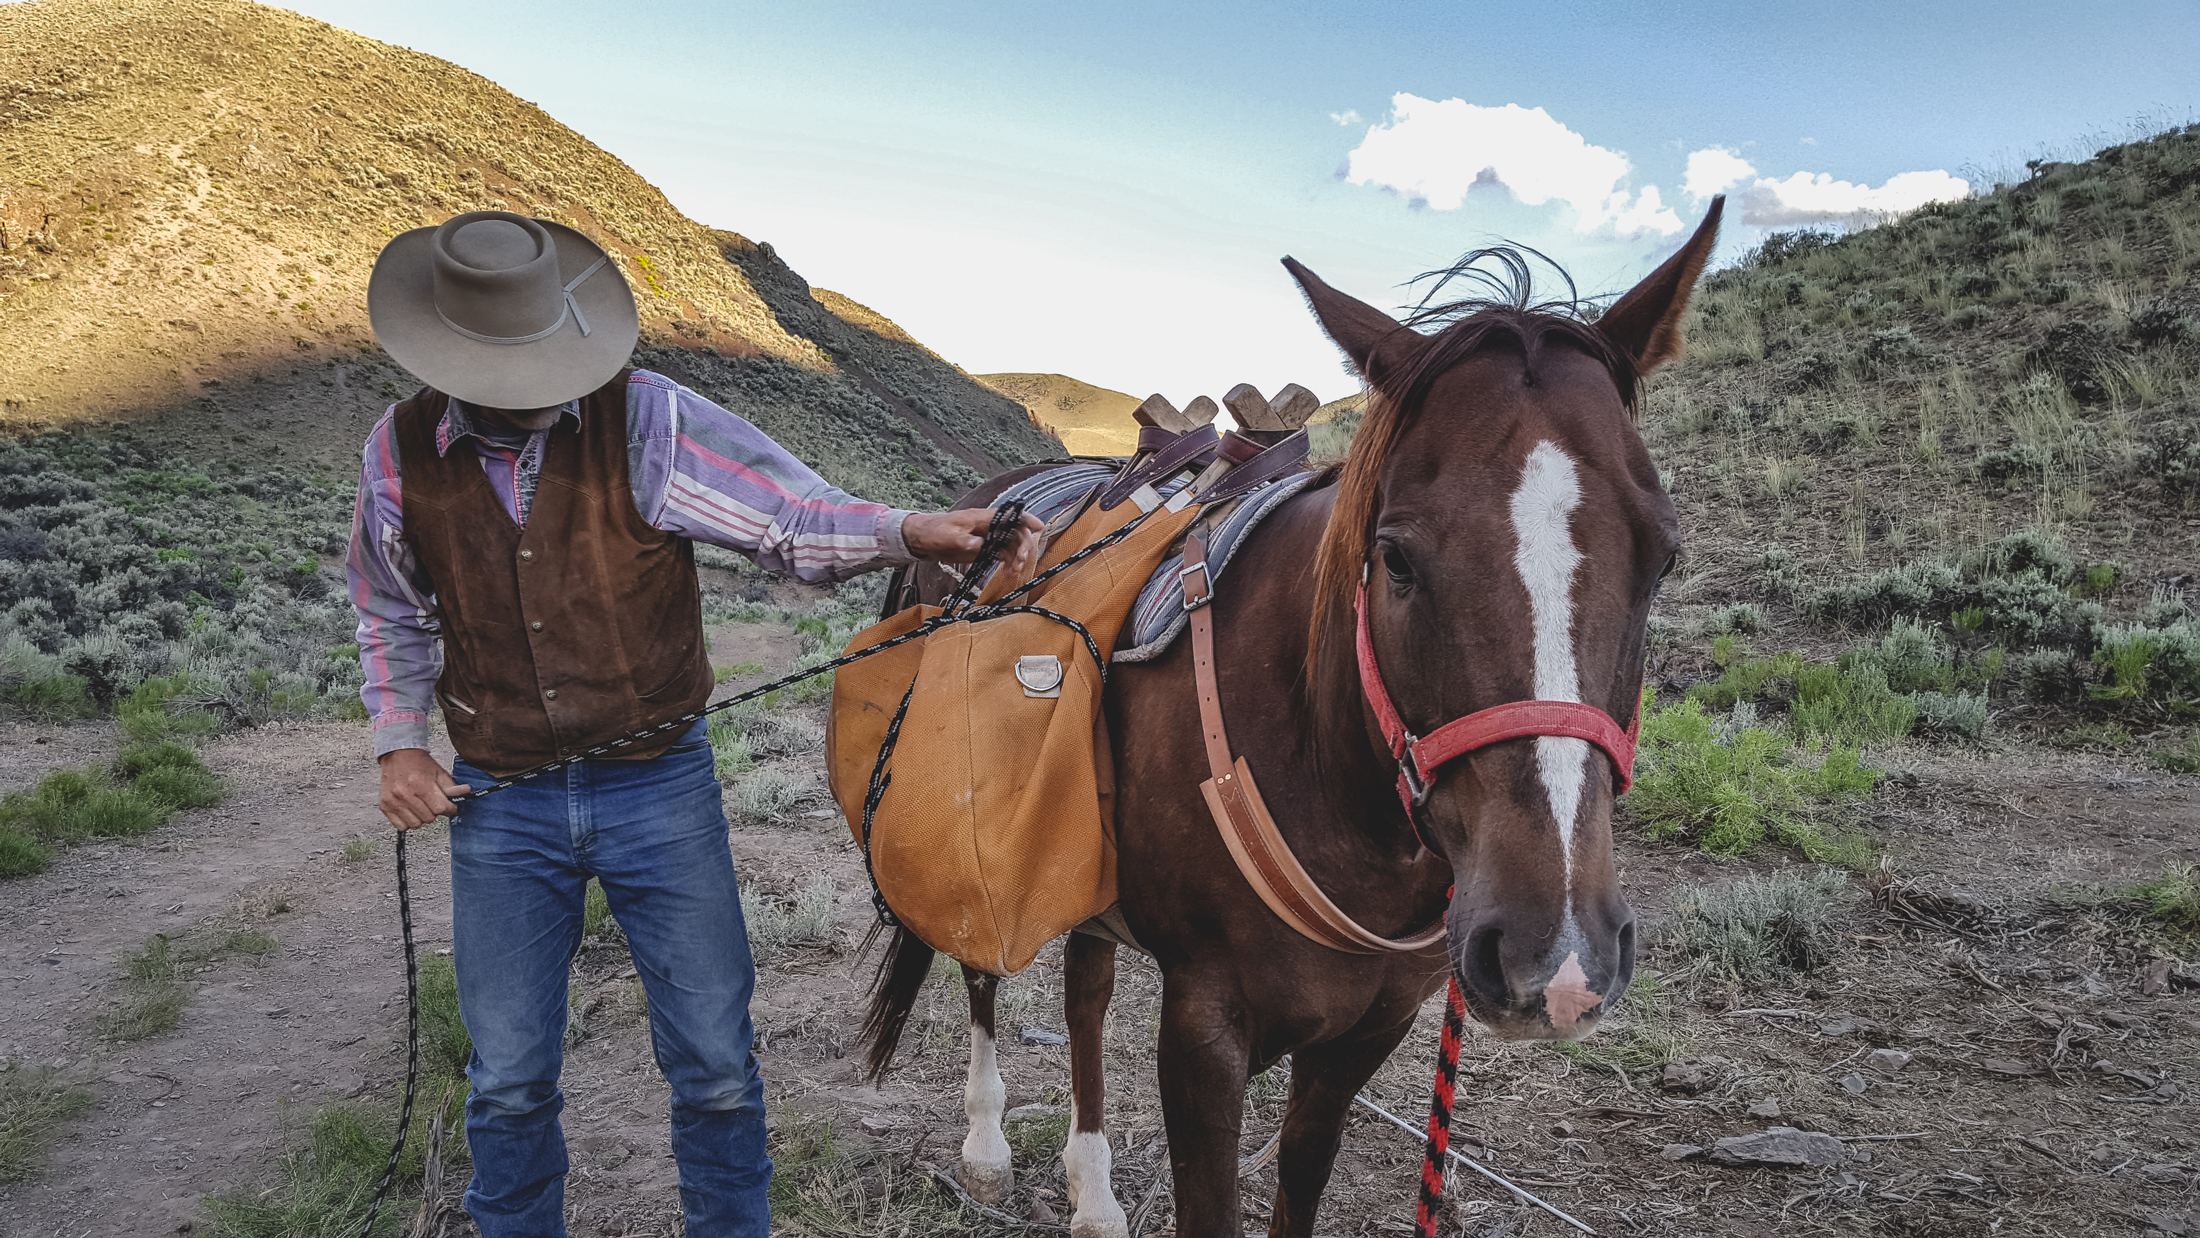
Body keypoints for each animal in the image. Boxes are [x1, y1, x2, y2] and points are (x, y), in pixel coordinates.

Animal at [858, 199, 1716, 1231]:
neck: (1337, 786)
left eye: (1663, 558)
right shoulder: (1203, 1029)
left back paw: (1093, 1191)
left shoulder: (1369, 1030)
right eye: (1396, 557)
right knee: (983, 968)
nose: (1555, 954)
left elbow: (1301, 1175)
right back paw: (986, 1147)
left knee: (1085, 994)